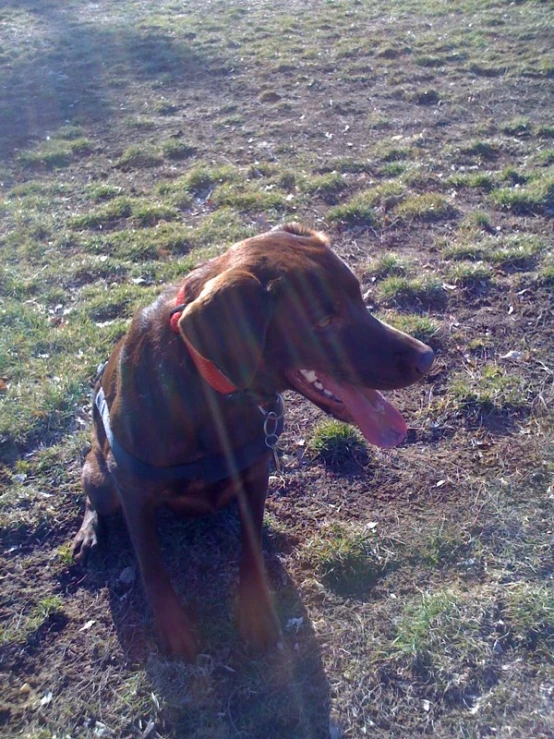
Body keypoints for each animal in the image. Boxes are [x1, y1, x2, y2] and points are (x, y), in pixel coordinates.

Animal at [71, 224, 432, 660]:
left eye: (359, 298)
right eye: (324, 320)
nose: (427, 357)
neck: (210, 389)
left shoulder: (257, 473)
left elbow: (250, 547)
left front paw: (257, 611)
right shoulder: (132, 489)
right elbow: (152, 565)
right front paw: (174, 627)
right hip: (102, 476)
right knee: (94, 499)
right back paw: (88, 533)